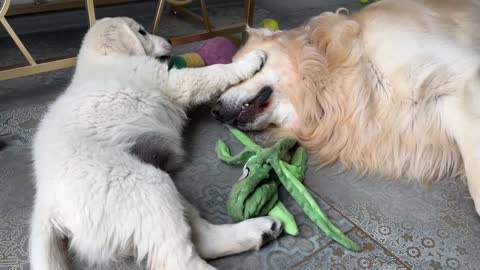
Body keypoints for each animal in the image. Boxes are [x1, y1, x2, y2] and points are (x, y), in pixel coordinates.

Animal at [29, 17, 282, 270]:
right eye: (142, 32)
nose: (170, 40)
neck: (105, 57)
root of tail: (49, 207)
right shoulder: (170, 80)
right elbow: (213, 72)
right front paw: (253, 59)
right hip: (146, 187)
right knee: (180, 259)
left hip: (159, 189)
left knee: (204, 239)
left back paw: (259, 230)